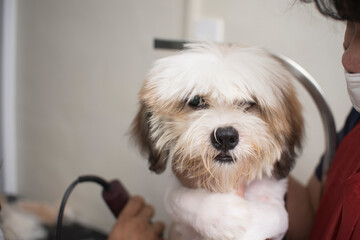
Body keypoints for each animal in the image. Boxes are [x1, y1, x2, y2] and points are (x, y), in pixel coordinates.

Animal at [131, 43, 304, 240]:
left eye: (249, 102)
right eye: (196, 101)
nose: (225, 137)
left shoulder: (275, 201)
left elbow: (276, 215)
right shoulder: (176, 195)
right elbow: (179, 198)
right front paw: (221, 215)